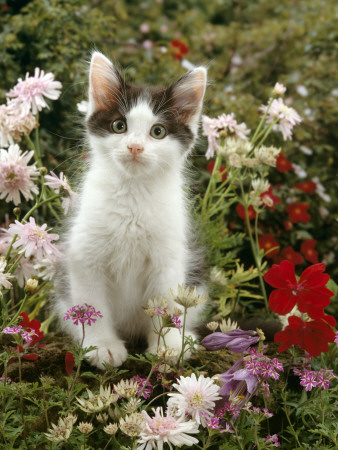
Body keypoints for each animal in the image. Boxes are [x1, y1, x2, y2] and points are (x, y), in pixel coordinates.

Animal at [55, 52, 207, 370]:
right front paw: (102, 346)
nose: (135, 147)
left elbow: (167, 303)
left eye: (158, 132)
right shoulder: (84, 256)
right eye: (119, 126)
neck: (133, 194)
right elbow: (90, 304)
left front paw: (168, 344)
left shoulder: (168, 257)